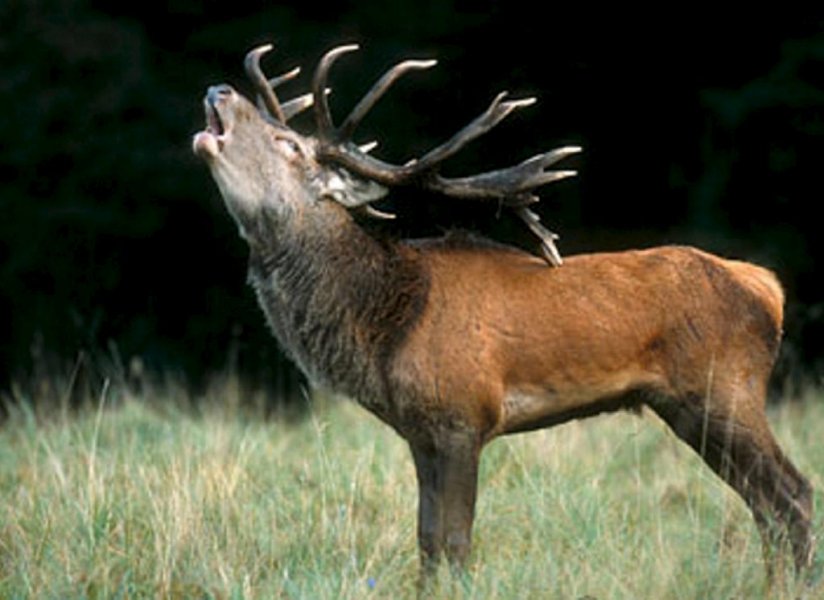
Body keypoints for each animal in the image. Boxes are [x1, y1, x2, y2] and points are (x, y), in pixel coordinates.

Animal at [192, 42, 814, 585]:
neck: (384, 324)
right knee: (766, 504)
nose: (219, 88)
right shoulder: (419, 431)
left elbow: (455, 541)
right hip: (688, 407)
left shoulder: (463, 414)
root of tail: (768, 287)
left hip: (724, 387)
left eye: (288, 144)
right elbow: (426, 541)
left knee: (793, 494)